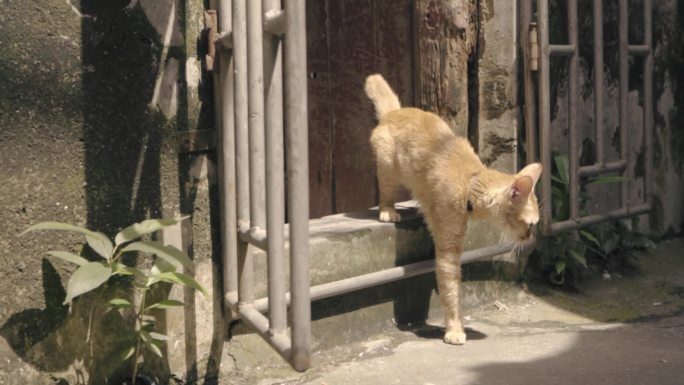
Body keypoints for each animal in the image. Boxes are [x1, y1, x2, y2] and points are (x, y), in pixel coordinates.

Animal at [366, 73, 544, 344]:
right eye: (530, 224)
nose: (529, 237)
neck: (470, 182)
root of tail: (395, 111)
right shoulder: (448, 250)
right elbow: (451, 290)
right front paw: (454, 328)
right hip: (387, 167)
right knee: (386, 191)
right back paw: (388, 211)